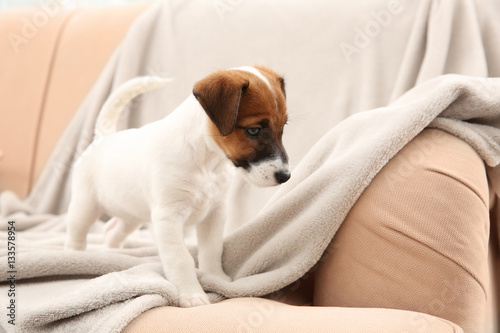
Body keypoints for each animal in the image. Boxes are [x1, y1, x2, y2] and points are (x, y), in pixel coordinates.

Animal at [63, 64, 290, 306]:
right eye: (254, 130)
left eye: (283, 127)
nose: (286, 176)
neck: (206, 161)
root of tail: (104, 137)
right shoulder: (168, 218)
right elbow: (181, 258)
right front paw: (192, 294)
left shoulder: (214, 213)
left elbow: (212, 249)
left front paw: (216, 278)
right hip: (85, 207)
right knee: (76, 235)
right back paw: (76, 257)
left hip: (131, 214)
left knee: (111, 231)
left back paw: (115, 253)